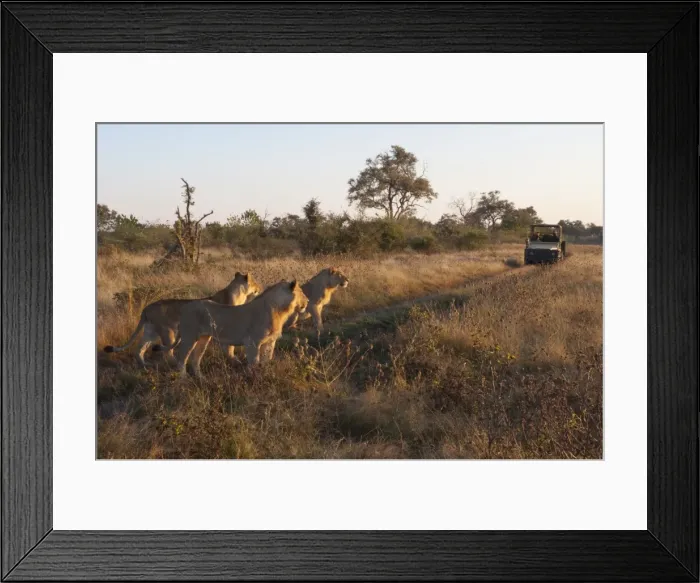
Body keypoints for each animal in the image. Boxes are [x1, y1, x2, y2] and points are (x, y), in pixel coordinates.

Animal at [103, 271, 262, 367]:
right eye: (255, 283)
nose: (260, 288)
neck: (239, 295)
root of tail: (146, 308)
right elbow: (230, 348)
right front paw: (236, 361)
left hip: (151, 332)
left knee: (139, 350)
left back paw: (145, 366)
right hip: (168, 332)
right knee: (167, 352)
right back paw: (175, 365)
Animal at [152, 279, 309, 378]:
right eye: (301, 291)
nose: (307, 301)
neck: (280, 310)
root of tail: (186, 307)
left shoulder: (270, 342)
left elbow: (266, 361)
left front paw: (266, 375)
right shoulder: (252, 342)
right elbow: (254, 363)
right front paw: (253, 378)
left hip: (203, 339)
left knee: (195, 359)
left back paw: (202, 379)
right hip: (189, 338)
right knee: (181, 359)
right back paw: (183, 379)